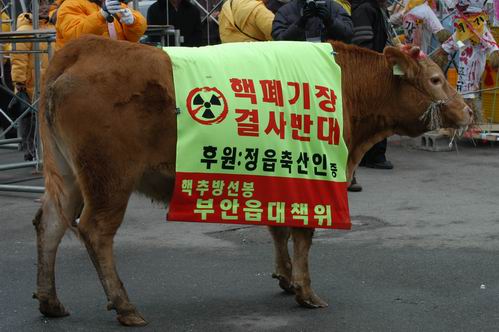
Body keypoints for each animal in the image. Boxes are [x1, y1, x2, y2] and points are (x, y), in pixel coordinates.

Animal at [34, 35, 472, 326]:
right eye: (436, 79)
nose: (467, 111)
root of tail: (85, 48)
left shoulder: (276, 174)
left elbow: (278, 226)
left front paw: (285, 278)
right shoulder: (314, 175)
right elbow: (303, 234)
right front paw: (306, 291)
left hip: (68, 176)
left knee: (51, 224)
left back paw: (50, 302)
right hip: (110, 178)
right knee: (95, 230)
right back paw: (124, 306)